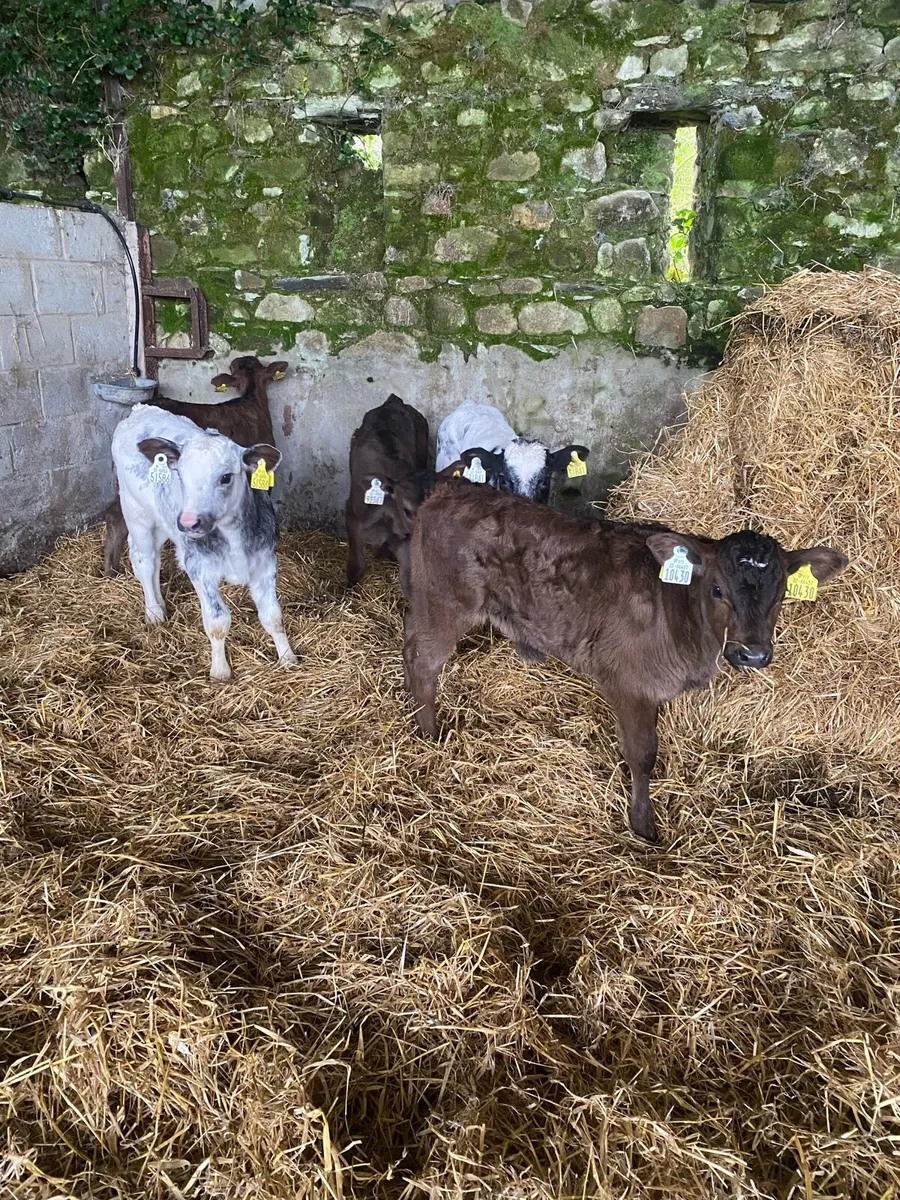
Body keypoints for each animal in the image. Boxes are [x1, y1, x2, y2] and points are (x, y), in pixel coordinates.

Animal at [111, 405, 298, 683]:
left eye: (226, 477)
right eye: (180, 475)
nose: (189, 522)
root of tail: (140, 409)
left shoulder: (265, 562)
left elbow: (273, 616)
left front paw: (287, 658)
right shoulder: (199, 567)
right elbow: (217, 622)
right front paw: (220, 672)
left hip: (165, 524)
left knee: (156, 561)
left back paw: (161, 605)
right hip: (136, 513)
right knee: (144, 561)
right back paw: (154, 612)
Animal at [345, 393, 465, 596]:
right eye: (407, 510)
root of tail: (393, 401)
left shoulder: (406, 542)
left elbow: (409, 581)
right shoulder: (352, 516)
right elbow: (357, 566)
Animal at [402, 484, 848, 843]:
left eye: (781, 594)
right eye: (718, 589)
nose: (752, 653)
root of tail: (447, 491)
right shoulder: (632, 684)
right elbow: (643, 754)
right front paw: (643, 824)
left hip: (427, 600)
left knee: (410, 644)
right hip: (445, 603)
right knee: (425, 663)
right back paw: (429, 734)